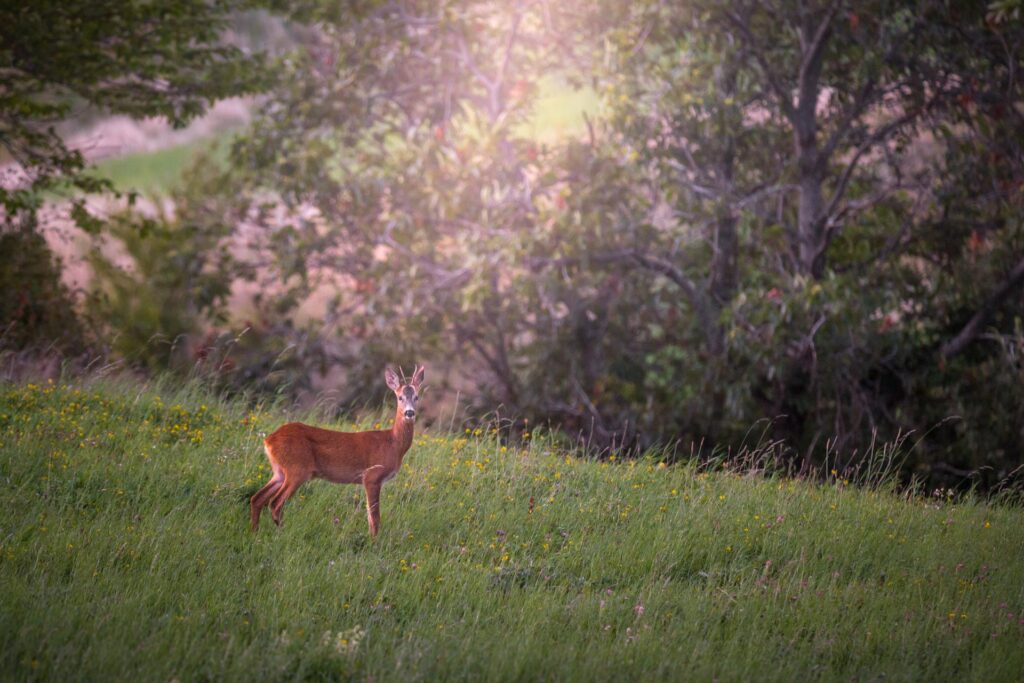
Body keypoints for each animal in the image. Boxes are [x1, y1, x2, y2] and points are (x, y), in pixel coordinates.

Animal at [250, 366, 423, 536]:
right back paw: (282, 534)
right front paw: (374, 541)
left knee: (257, 498)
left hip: (279, 472)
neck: (392, 443)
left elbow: (370, 517)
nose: (409, 413)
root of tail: (268, 440)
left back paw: (255, 534)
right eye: (400, 397)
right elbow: (375, 518)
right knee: (275, 503)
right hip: (297, 469)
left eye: (417, 397)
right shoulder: (371, 476)